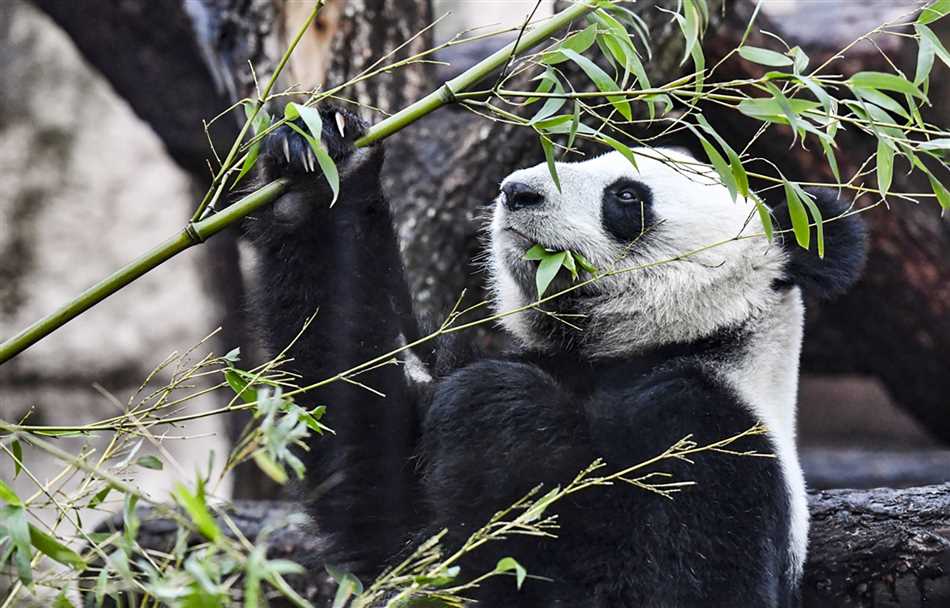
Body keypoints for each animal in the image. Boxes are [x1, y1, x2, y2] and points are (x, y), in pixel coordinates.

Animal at [247, 107, 872, 604]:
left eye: (626, 195)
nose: (516, 191)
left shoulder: (712, 437)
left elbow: (680, 582)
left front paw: (503, 412)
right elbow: (365, 457)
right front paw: (322, 157)